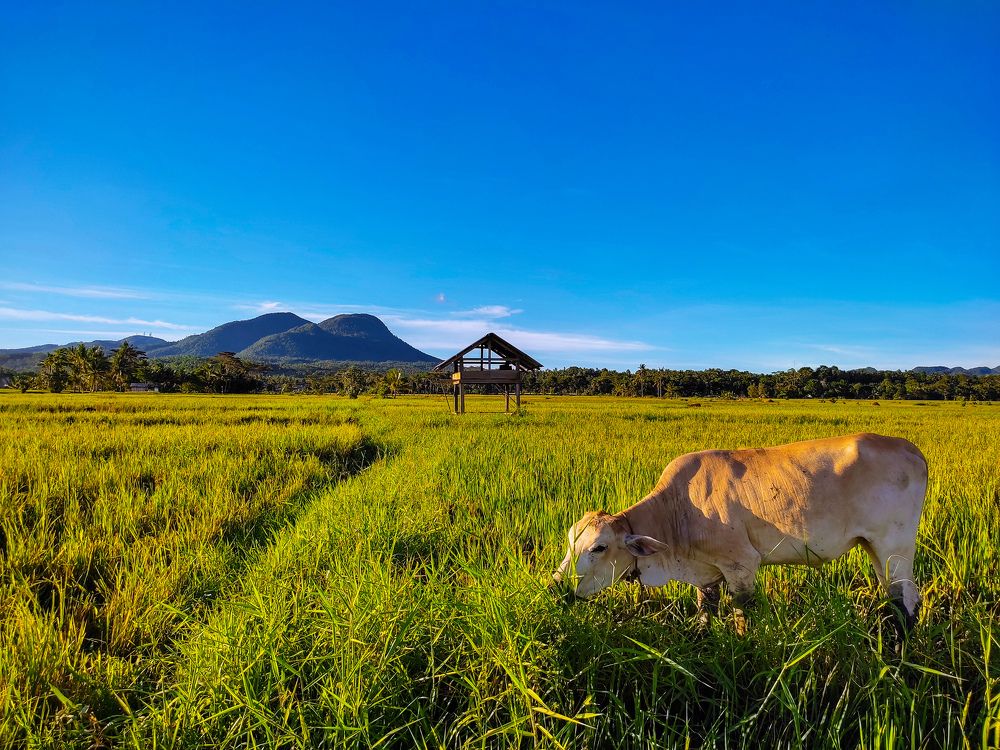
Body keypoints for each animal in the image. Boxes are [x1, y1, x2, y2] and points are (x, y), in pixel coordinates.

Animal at [552, 433, 927, 631]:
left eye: (598, 547)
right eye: (570, 542)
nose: (557, 585)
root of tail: (912, 450)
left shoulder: (742, 566)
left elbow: (742, 616)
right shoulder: (707, 575)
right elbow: (705, 612)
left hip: (894, 546)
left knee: (905, 599)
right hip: (874, 547)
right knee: (899, 597)